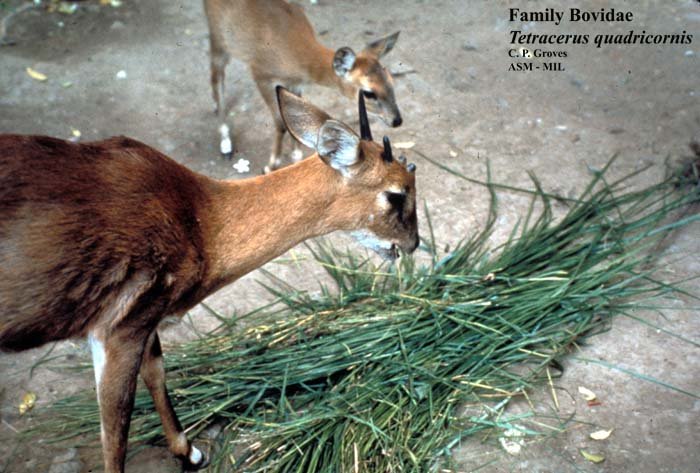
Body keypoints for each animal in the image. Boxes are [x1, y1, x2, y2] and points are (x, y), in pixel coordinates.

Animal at [0, 89, 418, 473]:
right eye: (396, 194)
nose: (412, 244)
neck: (202, 226)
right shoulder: (120, 323)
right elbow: (116, 429)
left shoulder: (145, 318)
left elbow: (157, 371)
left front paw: (189, 452)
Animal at [203, 0, 403, 173]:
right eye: (369, 93)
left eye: (391, 80)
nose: (397, 120)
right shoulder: (261, 73)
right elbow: (280, 122)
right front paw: (270, 166)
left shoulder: (295, 84)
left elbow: (294, 117)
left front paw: (296, 158)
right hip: (218, 36)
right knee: (216, 77)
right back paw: (225, 144)